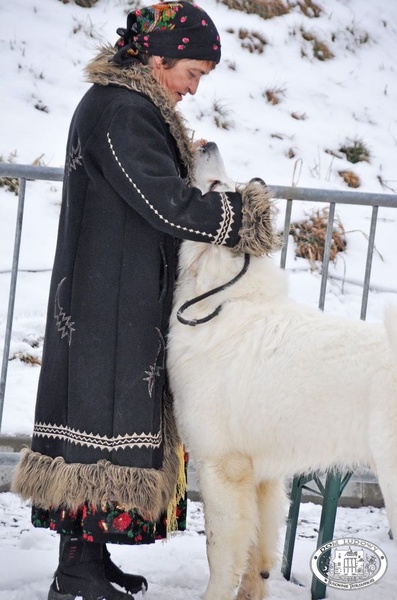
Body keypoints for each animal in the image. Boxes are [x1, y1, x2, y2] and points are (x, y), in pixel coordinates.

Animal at [166, 142, 396, 600]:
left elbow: (220, 555)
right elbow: (257, 554)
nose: (207, 144)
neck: (223, 302)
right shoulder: (263, 477)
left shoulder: (222, 468)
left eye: (216, 188)